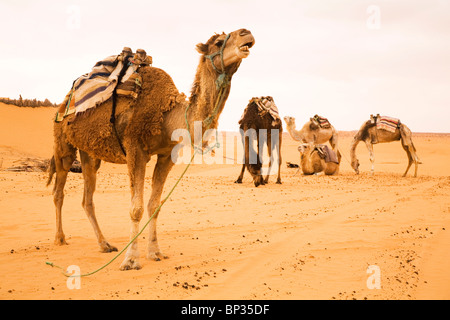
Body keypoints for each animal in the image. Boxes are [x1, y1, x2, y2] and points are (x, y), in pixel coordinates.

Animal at [48, 28, 256, 272]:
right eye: (219, 41)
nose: (246, 33)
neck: (169, 116)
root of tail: (65, 102)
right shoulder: (135, 149)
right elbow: (136, 208)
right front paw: (131, 260)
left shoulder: (167, 155)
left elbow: (154, 204)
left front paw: (155, 252)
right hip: (63, 143)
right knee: (58, 191)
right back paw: (60, 238)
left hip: (90, 153)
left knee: (87, 199)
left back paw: (104, 244)